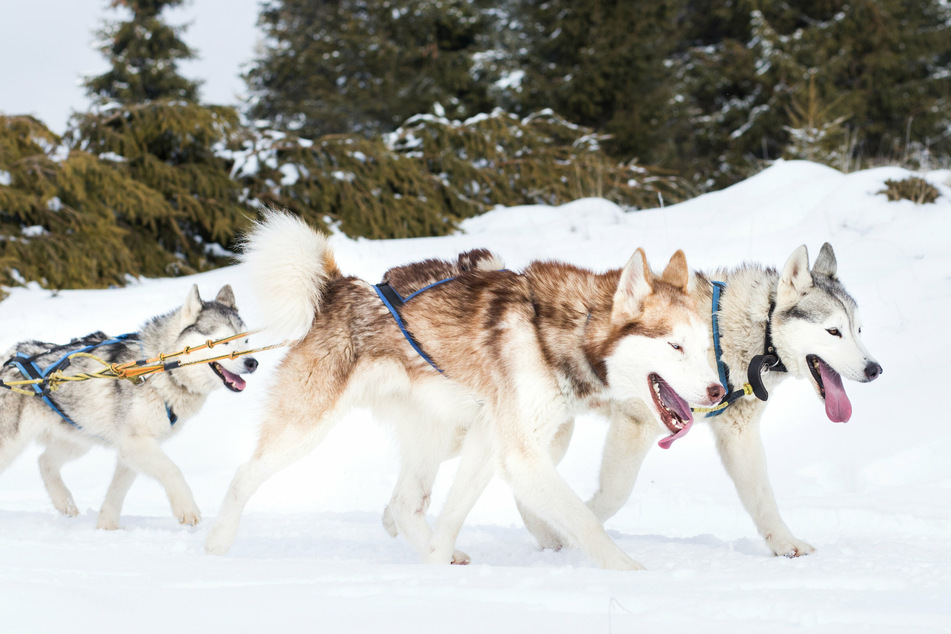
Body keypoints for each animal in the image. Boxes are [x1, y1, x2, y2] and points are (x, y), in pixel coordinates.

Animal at [0, 284, 260, 524]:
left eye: (246, 340)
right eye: (222, 341)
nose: (252, 362)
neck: (161, 371)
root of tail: (11, 355)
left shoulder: (132, 449)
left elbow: (117, 493)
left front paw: (107, 527)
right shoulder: (134, 443)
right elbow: (172, 470)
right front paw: (187, 509)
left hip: (78, 438)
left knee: (44, 461)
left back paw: (65, 503)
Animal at [208, 211, 724, 568]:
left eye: (703, 348)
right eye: (675, 346)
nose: (718, 390)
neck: (555, 334)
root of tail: (340, 286)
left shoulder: (490, 442)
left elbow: (453, 517)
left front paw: (437, 565)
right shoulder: (519, 455)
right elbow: (584, 520)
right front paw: (632, 572)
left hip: (443, 435)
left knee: (404, 504)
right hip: (306, 427)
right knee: (243, 476)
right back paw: (217, 545)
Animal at [524, 239, 880, 556]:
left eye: (859, 330)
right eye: (833, 331)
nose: (874, 369)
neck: (726, 334)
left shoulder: (738, 434)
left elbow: (761, 496)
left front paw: (785, 544)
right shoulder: (636, 422)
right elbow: (613, 494)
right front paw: (572, 533)